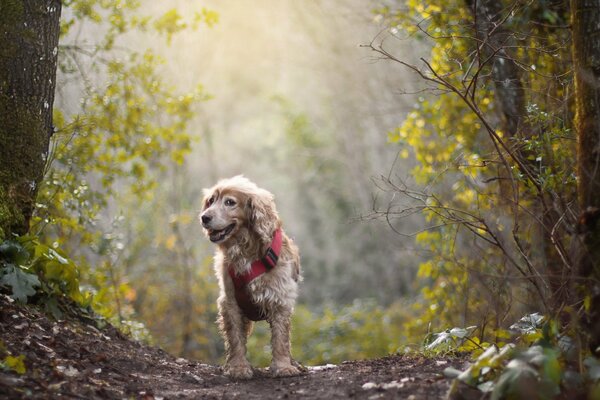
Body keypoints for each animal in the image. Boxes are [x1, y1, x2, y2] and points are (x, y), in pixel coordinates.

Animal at [200, 175, 302, 378]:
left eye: (230, 202)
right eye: (211, 201)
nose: (204, 217)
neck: (246, 249)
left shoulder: (280, 298)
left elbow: (280, 338)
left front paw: (283, 366)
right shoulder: (230, 301)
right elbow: (235, 338)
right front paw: (238, 367)